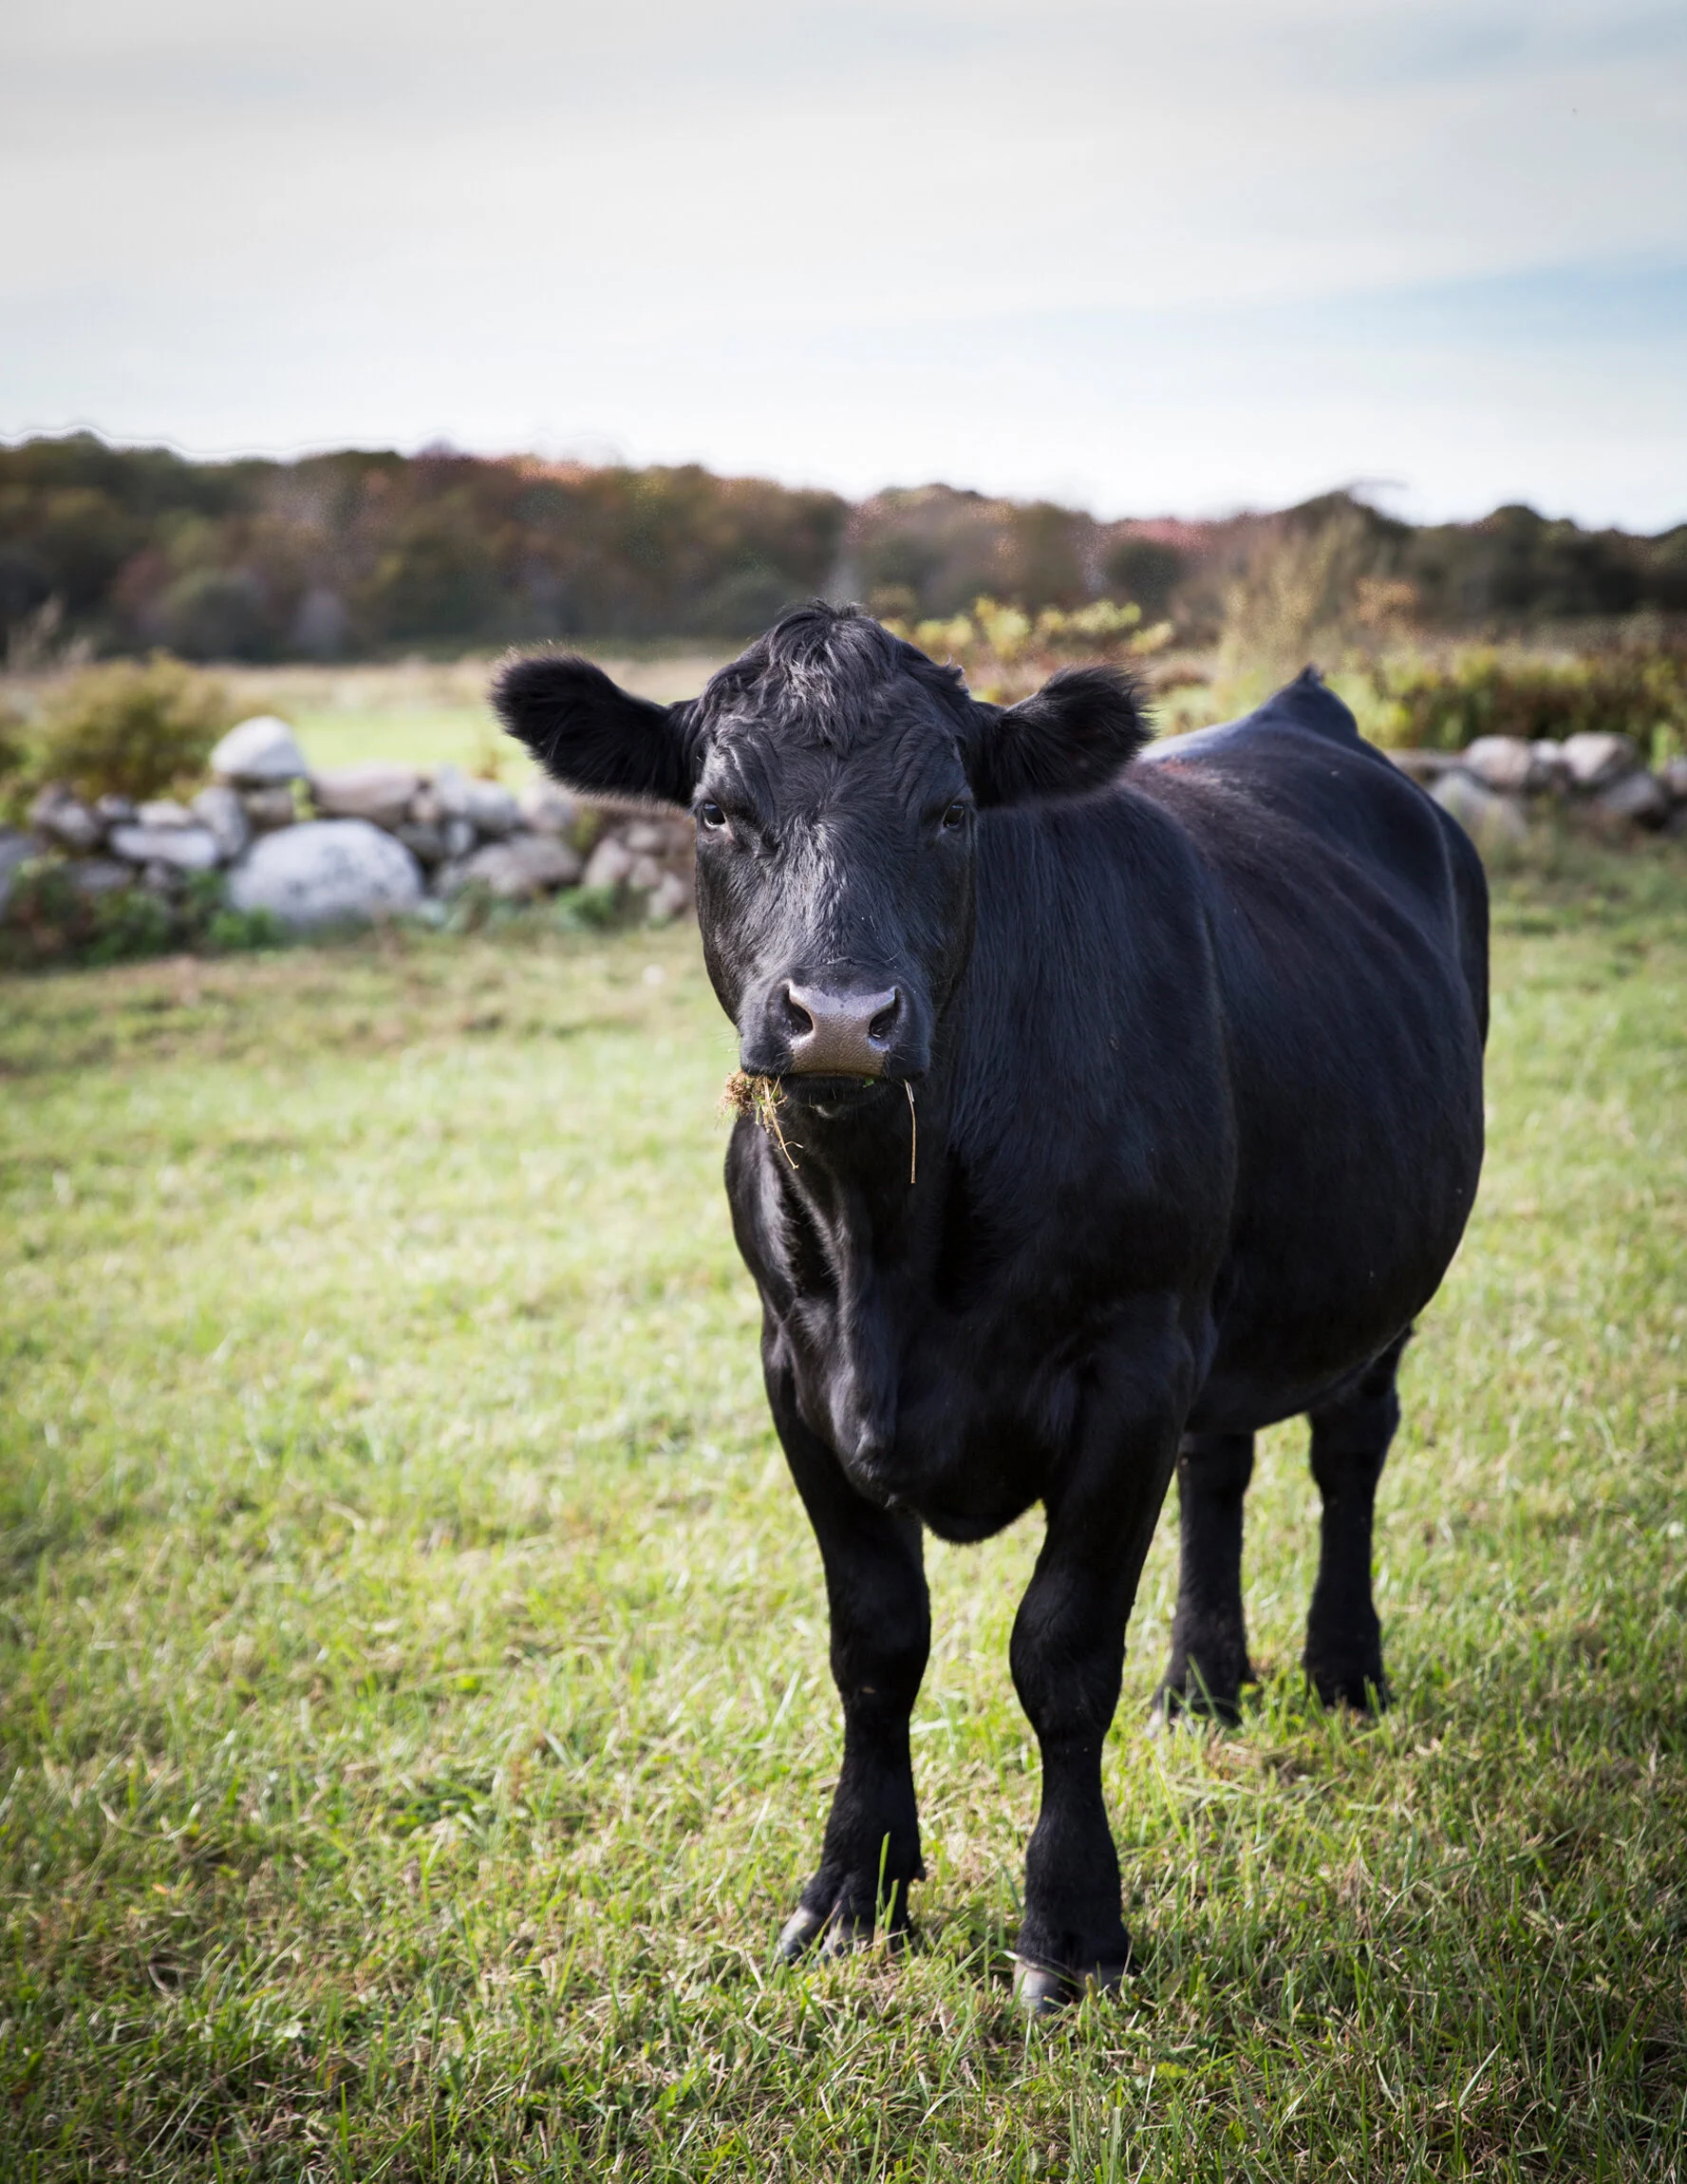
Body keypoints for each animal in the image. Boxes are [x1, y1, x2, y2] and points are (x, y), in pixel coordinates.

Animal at [493, 604, 1488, 2013]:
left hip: (1370, 1274)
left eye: (952, 811)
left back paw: (1341, 1670)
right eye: (717, 809)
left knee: (1348, 1446)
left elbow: (1061, 1653)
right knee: (1221, 1462)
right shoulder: (794, 1367)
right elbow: (874, 1641)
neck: (888, 1243)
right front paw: (852, 1893)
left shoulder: (1130, 1360)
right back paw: (1203, 1682)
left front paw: (1069, 1931)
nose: (837, 1018)